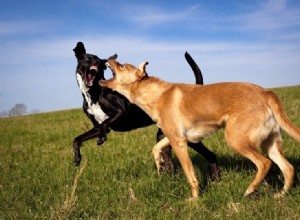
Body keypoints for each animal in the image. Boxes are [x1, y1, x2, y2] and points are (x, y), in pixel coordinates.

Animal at [72, 42, 219, 180]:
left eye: (98, 60)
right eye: (87, 58)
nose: (97, 63)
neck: (93, 93)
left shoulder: (121, 113)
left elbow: (105, 123)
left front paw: (101, 138)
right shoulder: (96, 127)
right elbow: (77, 139)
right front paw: (77, 158)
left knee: (210, 155)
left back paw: (215, 178)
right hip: (163, 136)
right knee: (169, 164)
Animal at [101, 58, 300, 199]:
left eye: (123, 65)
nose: (109, 57)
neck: (157, 95)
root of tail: (266, 92)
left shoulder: (179, 142)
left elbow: (190, 176)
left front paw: (194, 199)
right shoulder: (177, 137)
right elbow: (156, 147)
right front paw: (159, 163)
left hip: (236, 139)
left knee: (264, 163)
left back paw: (249, 191)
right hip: (270, 144)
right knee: (288, 168)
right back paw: (280, 195)